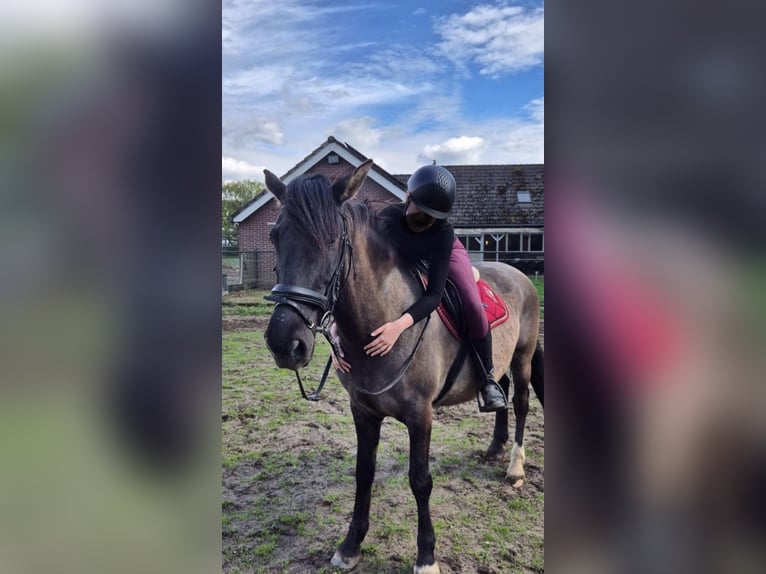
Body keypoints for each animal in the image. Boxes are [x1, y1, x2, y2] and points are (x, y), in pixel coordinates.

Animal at [263, 159, 543, 574]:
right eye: (275, 237)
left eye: (331, 241)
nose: (285, 343)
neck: (381, 320)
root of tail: (519, 273)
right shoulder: (363, 411)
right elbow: (364, 473)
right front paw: (351, 545)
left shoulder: (420, 415)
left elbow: (420, 480)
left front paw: (426, 556)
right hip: (502, 362)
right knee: (502, 392)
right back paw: (494, 446)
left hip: (522, 358)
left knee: (522, 403)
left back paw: (515, 468)